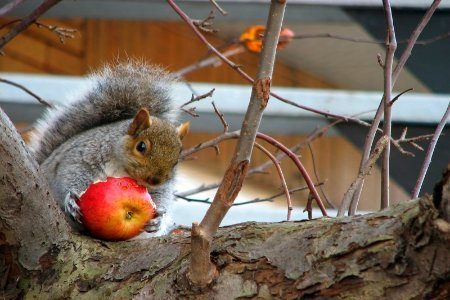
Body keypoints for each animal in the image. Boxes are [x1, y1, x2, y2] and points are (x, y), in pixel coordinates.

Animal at [28, 59, 190, 236]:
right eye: (141, 146)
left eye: (176, 161)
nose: (155, 180)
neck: (123, 169)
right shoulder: (84, 154)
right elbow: (71, 172)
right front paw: (71, 200)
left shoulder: (161, 187)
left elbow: (162, 195)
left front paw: (158, 219)